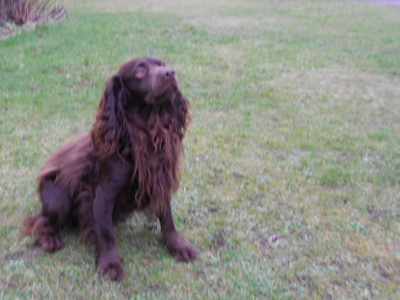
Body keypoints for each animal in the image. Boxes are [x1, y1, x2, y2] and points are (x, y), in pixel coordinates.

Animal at [23, 57, 197, 280]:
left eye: (162, 64)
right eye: (139, 71)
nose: (170, 73)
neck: (143, 134)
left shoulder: (160, 180)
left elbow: (167, 219)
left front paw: (178, 246)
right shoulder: (103, 195)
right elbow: (106, 234)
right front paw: (109, 263)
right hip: (58, 198)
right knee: (42, 220)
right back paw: (51, 238)